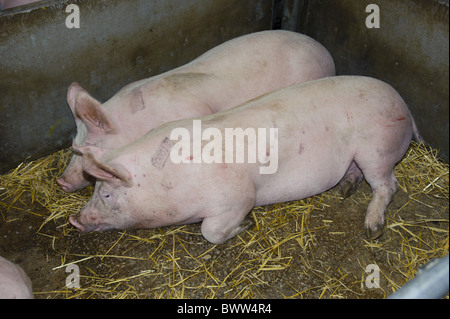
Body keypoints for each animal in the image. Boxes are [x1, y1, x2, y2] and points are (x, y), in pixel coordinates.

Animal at [69, 76, 422, 244]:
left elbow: (210, 232)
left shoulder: (238, 197)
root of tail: (403, 103)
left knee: (389, 185)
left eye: (107, 194)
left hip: (377, 148)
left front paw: (247, 226)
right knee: (358, 175)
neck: (169, 180)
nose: (75, 220)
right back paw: (345, 190)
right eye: (94, 189)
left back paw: (372, 228)